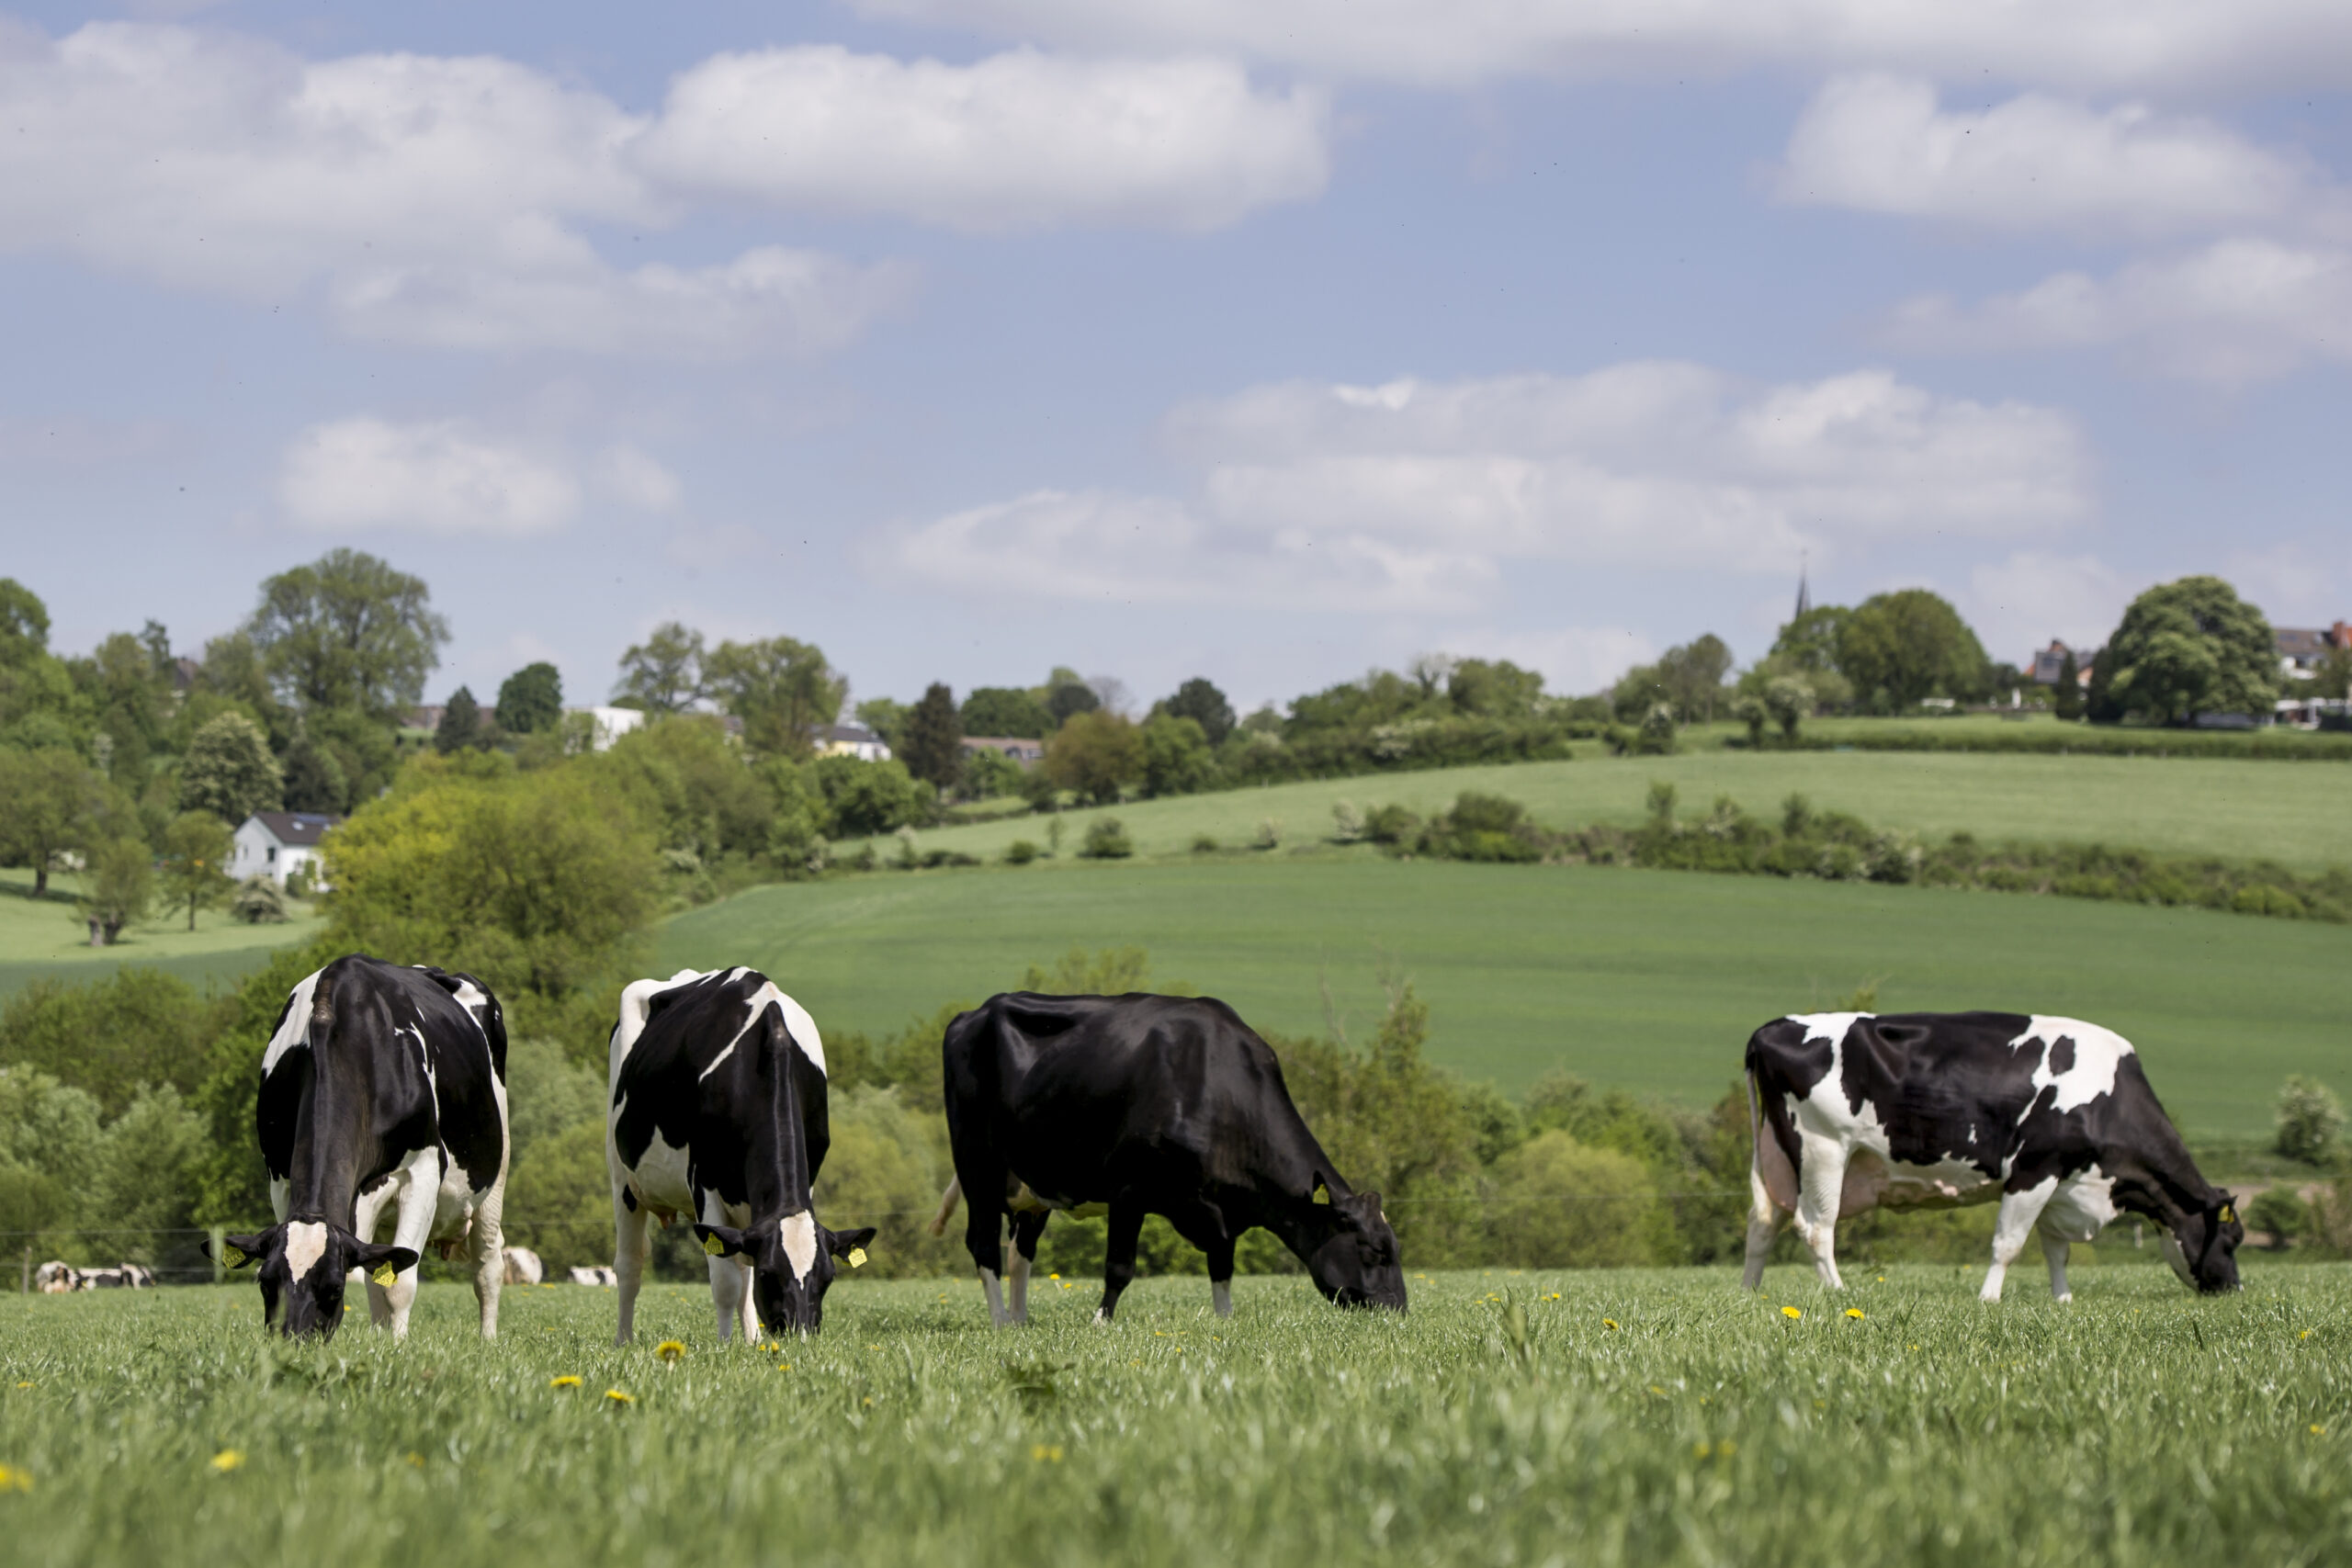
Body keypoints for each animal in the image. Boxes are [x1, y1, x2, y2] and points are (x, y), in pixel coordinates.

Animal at [208, 959, 514, 1335]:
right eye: (266, 1283)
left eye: (334, 1289)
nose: (291, 1339)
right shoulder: (279, 1179)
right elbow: (378, 1277)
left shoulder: (423, 1171)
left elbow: (400, 1284)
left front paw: (398, 1346)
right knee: (375, 1272)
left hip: (496, 1172)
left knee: (488, 1264)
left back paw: (488, 1338)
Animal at [606, 964, 875, 1344]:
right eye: (769, 1275)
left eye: (828, 1278)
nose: (799, 1335)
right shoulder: (703, 1180)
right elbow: (725, 1282)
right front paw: (723, 1345)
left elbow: (741, 1274)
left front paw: (750, 1343)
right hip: (622, 1175)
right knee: (630, 1263)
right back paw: (624, 1340)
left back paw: (753, 1339)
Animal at [926, 991, 1401, 1325]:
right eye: (1375, 1251)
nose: (1399, 1312)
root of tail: (974, 1013)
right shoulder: (1129, 1188)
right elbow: (1119, 1267)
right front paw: (1101, 1322)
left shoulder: (1217, 1207)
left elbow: (1222, 1265)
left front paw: (1225, 1321)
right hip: (976, 1163)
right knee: (984, 1244)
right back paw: (1001, 1321)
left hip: (1035, 1181)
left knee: (1020, 1251)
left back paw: (1022, 1320)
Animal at [1749, 1010, 2239, 1306]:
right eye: (2233, 1240)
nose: (2234, 1289)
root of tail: (1773, 1027)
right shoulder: (2034, 1169)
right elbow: (2009, 1244)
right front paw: (1989, 1299)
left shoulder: (2062, 1183)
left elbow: (2056, 1251)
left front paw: (2063, 1301)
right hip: (1823, 1147)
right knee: (1815, 1226)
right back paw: (1839, 1291)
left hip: (1774, 1153)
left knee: (1763, 1222)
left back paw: (1750, 1293)